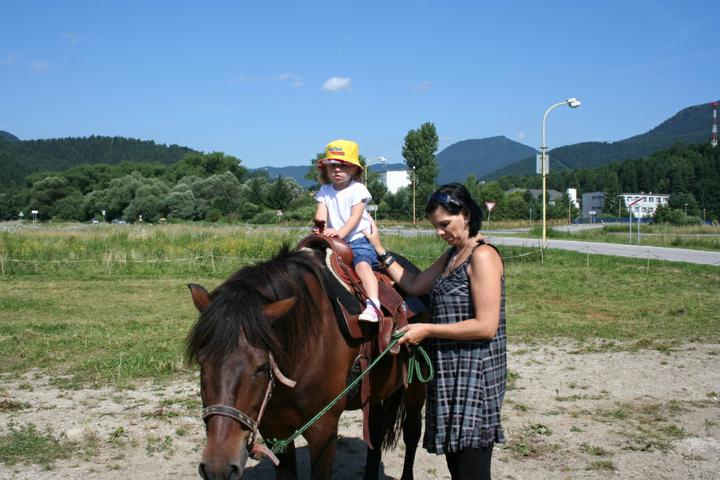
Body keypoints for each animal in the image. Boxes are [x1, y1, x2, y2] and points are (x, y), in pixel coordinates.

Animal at [186, 243, 428, 480]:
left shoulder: (324, 431)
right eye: (201, 363)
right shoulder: (275, 430)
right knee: (375, 433)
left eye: (262, 367)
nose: (217, 468)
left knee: (412, 432)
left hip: (417, 387)